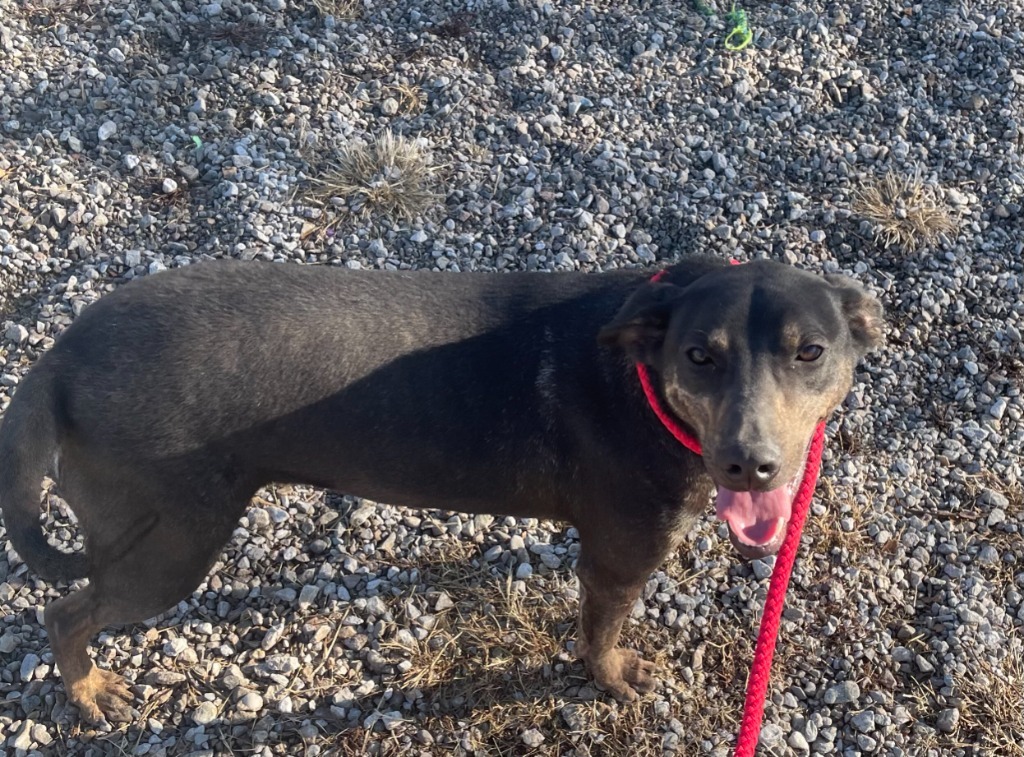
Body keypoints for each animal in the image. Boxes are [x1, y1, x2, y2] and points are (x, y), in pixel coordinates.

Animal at [0, 257, 880, 725]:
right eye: (700, 355)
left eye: (810, 351)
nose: (750, 465)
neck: (641, 377)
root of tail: (59, 360)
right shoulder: (618, 561)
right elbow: (598, 635)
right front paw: (611, 674)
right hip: (172, 543)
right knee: (66, 611)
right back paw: (87, 689)